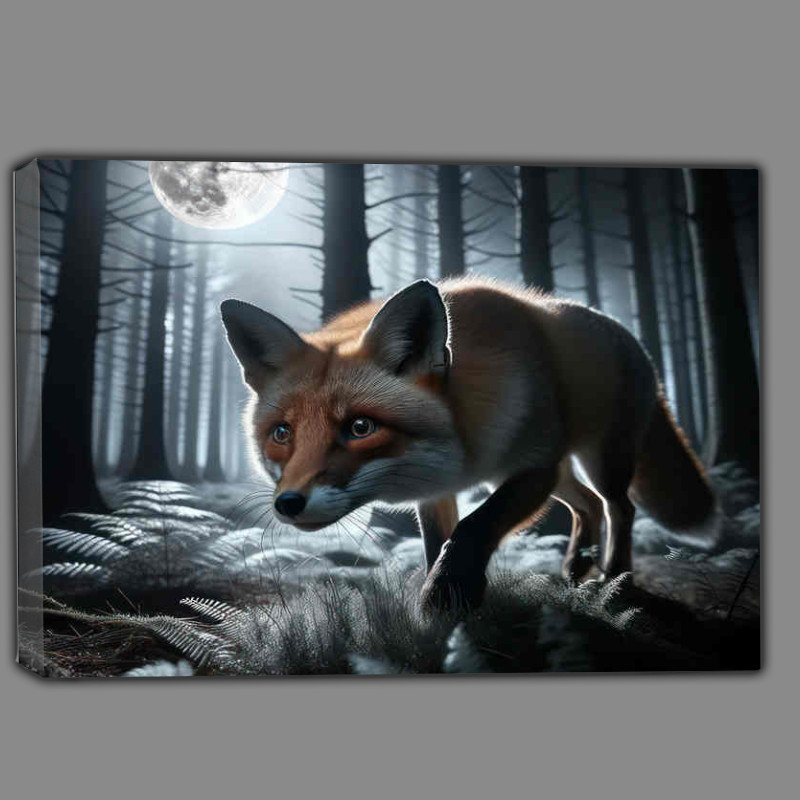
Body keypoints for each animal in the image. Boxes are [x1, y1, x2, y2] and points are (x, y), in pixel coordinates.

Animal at [220, 277, 716, 610]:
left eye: (361, 428)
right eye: (282, 434)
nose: (289, 503)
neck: (463, 447)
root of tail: (633, 339)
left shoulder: (533, 466)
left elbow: (474, 527)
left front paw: (448, 594)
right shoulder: (439, 490)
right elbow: (438, 543)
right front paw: (439, 593)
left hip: (598, 459)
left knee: (619, 506)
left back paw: (616, 580)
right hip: (560, 472)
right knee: (588, 505)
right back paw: (577, 566)